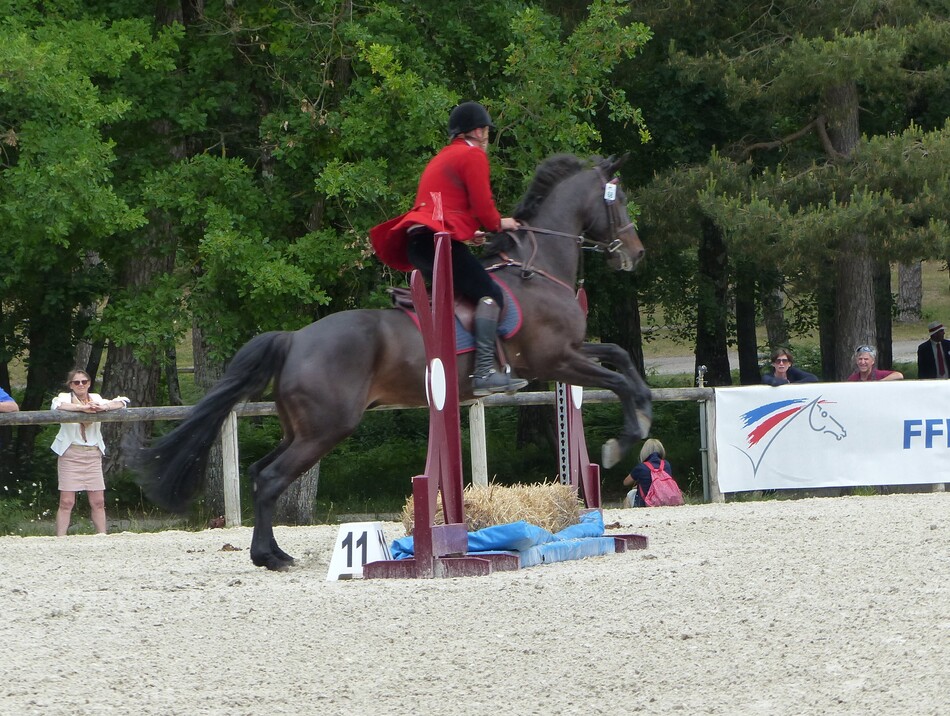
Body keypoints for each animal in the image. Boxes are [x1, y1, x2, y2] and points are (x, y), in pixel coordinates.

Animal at [139, 152, 656, 572]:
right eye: (621, 200)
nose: (636, 254)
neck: (540, 269)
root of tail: (294, 339)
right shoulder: (556, 361)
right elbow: (617, 380)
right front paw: (624, 439)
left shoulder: (570, 354)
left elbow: (620, 358)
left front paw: (645, 412)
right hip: (326, 429)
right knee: (269, 479)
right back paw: (271, 557)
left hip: (300, 429)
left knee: (259, 473)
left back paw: (272, 552)